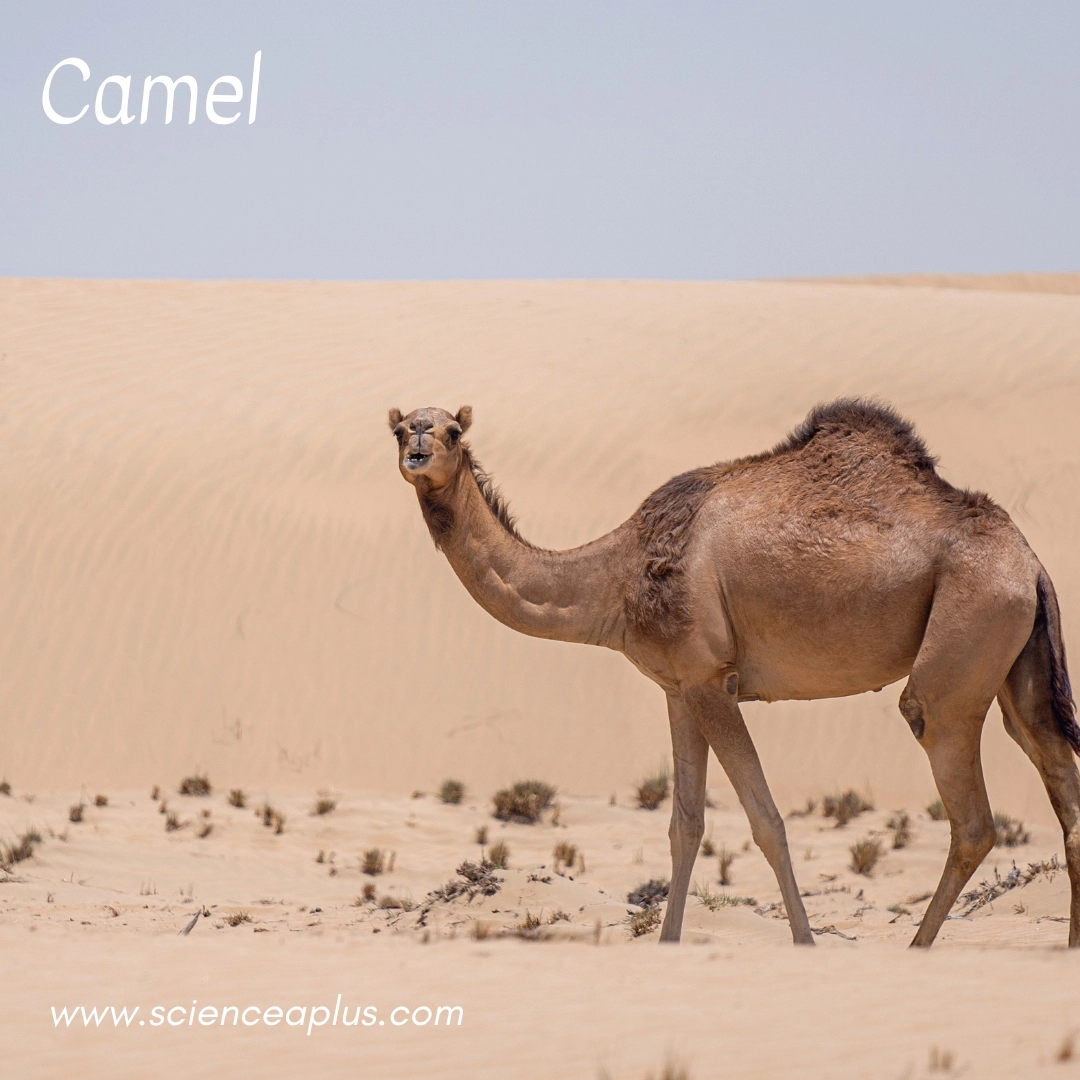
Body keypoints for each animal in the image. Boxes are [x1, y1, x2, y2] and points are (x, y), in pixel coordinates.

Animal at [389, 398, 1080, 948]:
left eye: (453, 430)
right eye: (399, 429)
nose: (419, 444)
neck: (613, 578)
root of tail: (1030, 562)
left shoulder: (710, 681)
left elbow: (766, 822)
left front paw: (805, 943)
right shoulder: (676, 689)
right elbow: (685, 825)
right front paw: (667, 945)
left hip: (965, 638)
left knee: (969, 811)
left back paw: (916, 948)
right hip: (1017, 664)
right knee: (1056, 771)